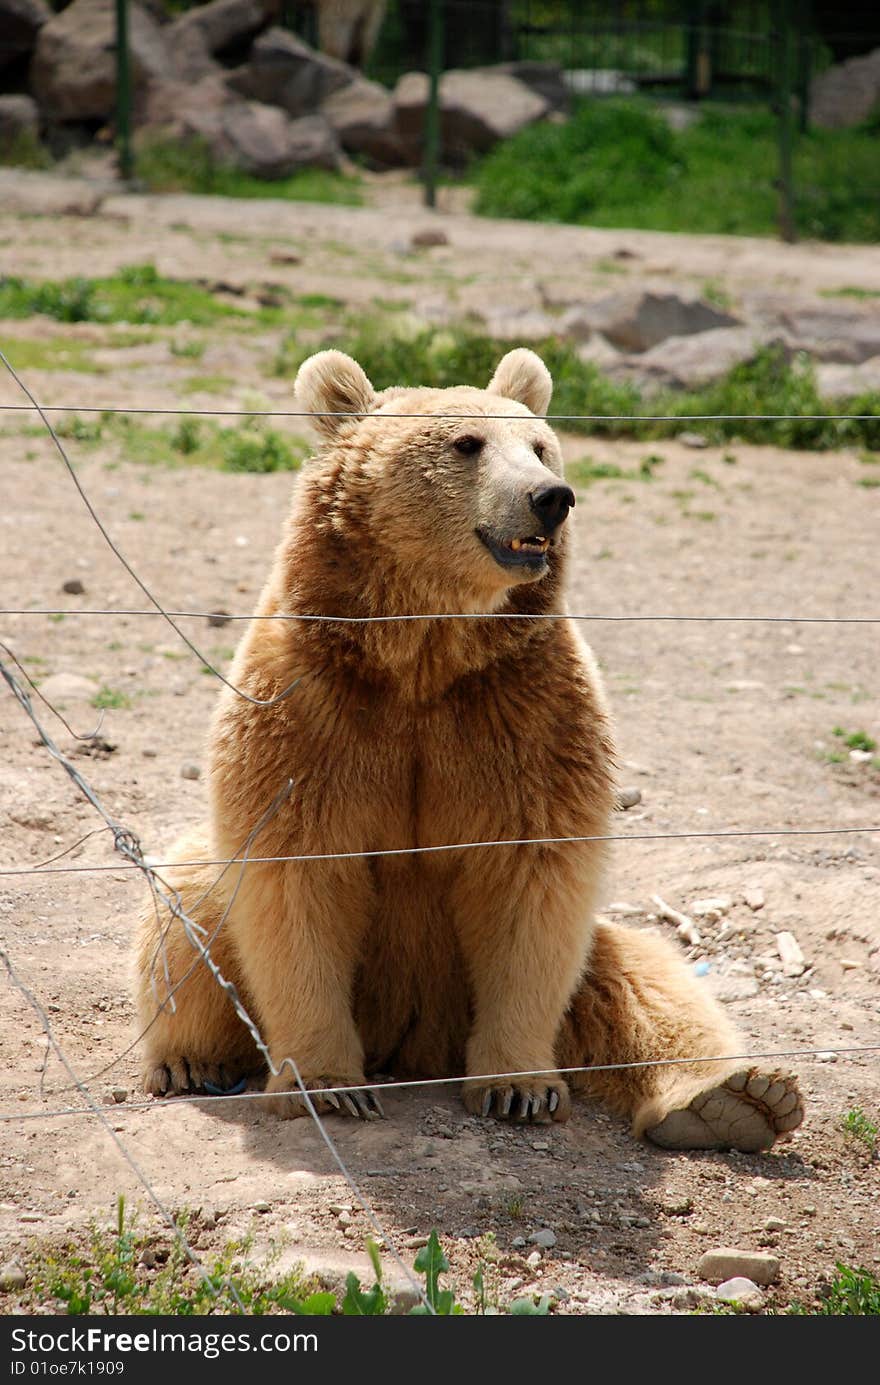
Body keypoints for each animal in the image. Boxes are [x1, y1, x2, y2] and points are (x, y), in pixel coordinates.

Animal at [132, 351, 803, 1152]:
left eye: (540, 445)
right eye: (466, 444)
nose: (551, 498)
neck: (425, 649)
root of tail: (412, 1043)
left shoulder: (522, 715)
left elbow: (530, 880)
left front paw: (520, 1087)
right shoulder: (310, 708)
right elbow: (299, 876)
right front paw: (329, 1085)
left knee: (640, 975)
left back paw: (733, 1097)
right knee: (190, 902)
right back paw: (187, 1058)